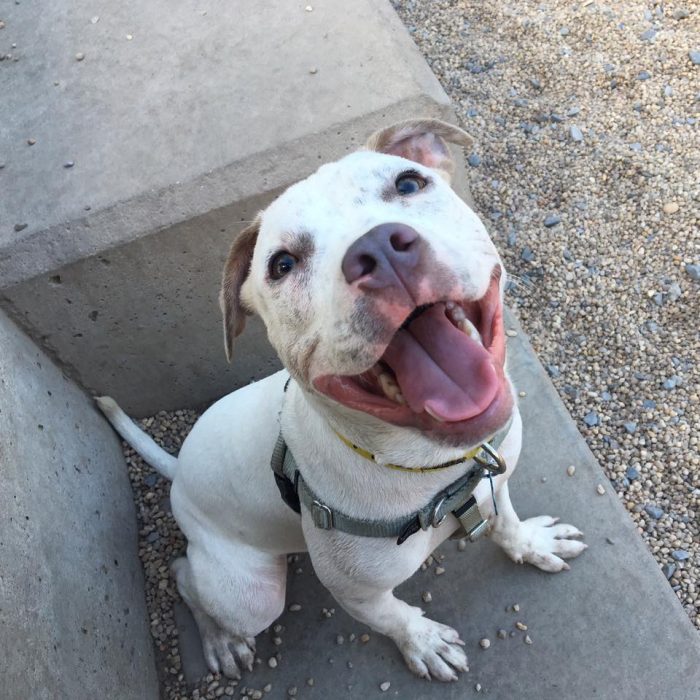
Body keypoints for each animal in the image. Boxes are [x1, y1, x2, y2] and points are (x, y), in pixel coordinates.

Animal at [94, 120, 584, 684]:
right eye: (282, 264)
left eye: (409, 183)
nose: (381, 250)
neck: (433, 470)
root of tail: (179, 472)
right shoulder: (357, 593)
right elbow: (394, 617)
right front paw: (423, 642)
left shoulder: (494, 481)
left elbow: (506, 523)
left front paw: (530, 544)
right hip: (251, 595)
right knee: (186, 577)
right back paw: (220, 641)